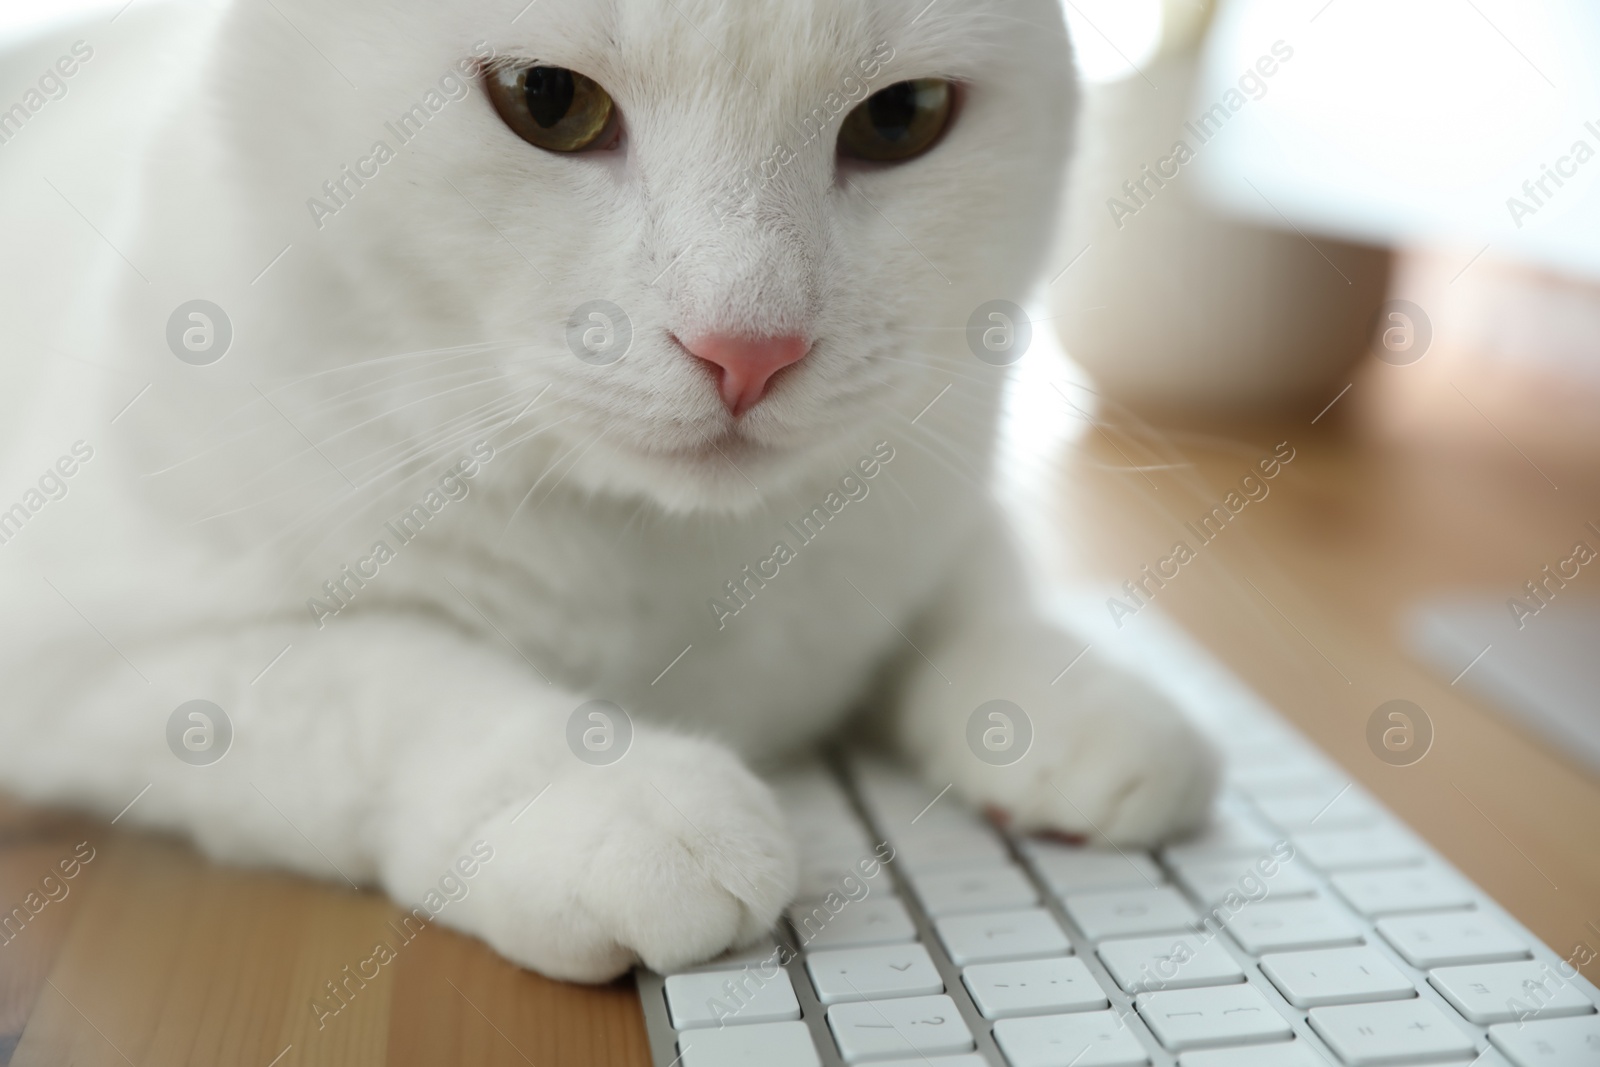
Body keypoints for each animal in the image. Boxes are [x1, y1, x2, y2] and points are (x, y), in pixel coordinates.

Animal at [0, 0, 1209, 985]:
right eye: (548, 100)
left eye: (902, 118)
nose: (749, 347)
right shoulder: (95, 648)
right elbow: (387, 678)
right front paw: (612, 797)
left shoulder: (941, 464)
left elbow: (977, 591)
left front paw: (1073, 699)